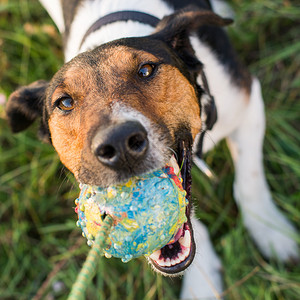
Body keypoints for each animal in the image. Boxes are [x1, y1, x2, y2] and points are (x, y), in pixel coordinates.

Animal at [5, 0, 298, 298]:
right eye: (64, 102)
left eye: (146, 69)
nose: (119, 142)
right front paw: (201, 284)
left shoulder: (247, 104)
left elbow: (250, 183)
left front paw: (272, 232)